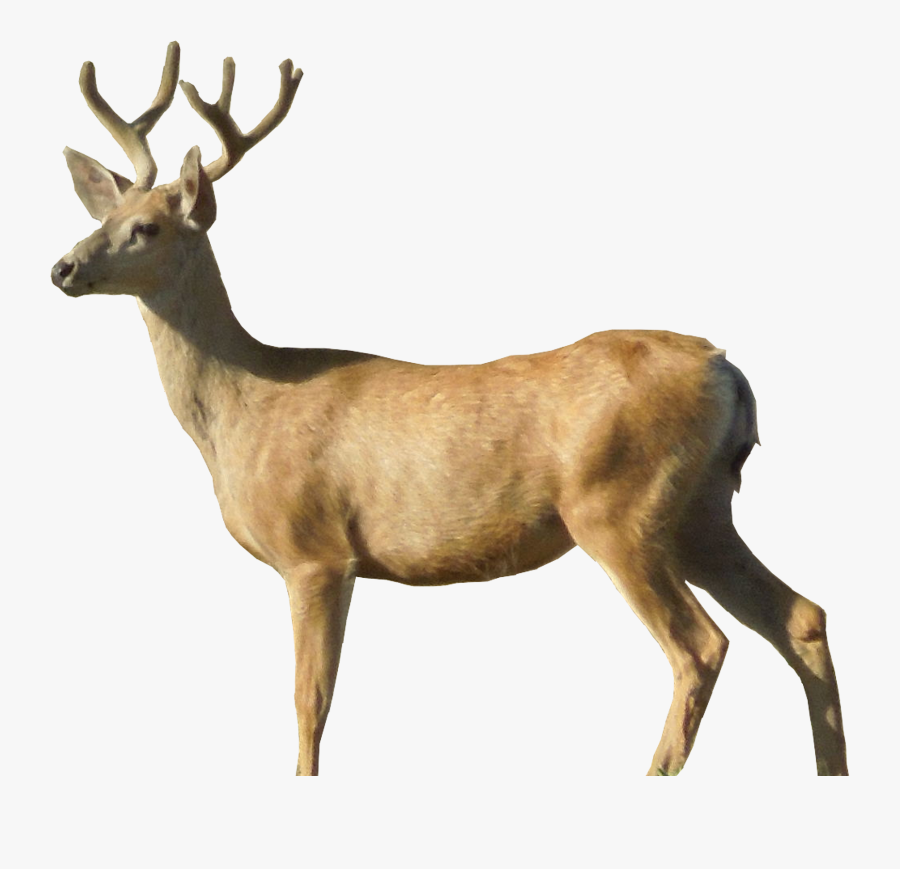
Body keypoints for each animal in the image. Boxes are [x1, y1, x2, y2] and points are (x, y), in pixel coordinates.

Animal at [51, 42, 847, 776]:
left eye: (148, 227)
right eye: (104, 214)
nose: (62, 266)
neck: (245, 406)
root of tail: (727, 368)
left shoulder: (315, 550)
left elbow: (311, 700)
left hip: (618, 505)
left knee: (701, 646)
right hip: (699, 508)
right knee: (801, 616)